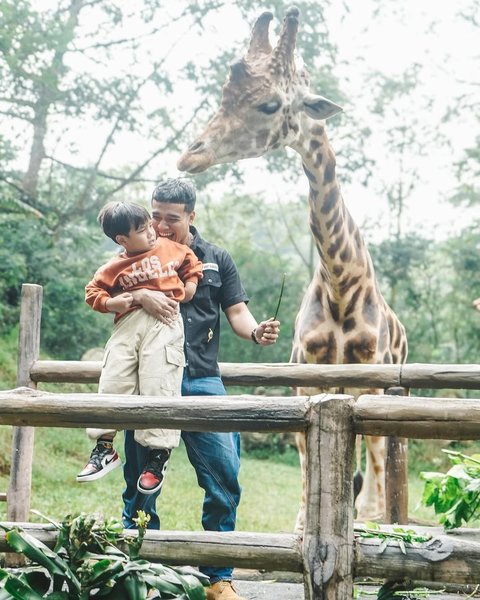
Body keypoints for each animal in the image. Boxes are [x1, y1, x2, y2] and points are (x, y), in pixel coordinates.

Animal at [178, 4, 406, 528]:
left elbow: (371, 462)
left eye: (269, 105)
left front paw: (370, 524)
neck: (342, 280)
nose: (190, 154)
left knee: (379, 455)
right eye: (224, 95)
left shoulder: (370, 375)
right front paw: (305, 526)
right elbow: (306, 455)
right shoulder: (306, 373)